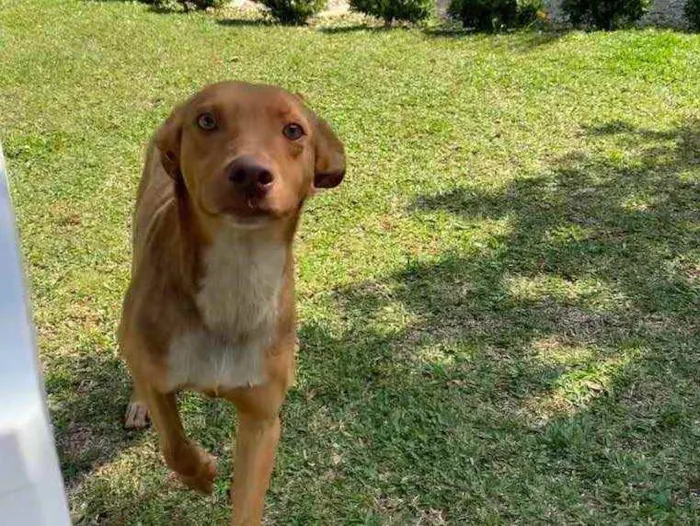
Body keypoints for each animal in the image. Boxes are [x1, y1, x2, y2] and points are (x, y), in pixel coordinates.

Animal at [119, 80, 346, 524]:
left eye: (294, 130)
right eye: (206, 120)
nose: (251, 174)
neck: (238, 275)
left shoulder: (262, 420)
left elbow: (247, 503)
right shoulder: (157, 369)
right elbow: (173, 440)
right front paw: (201, 473)